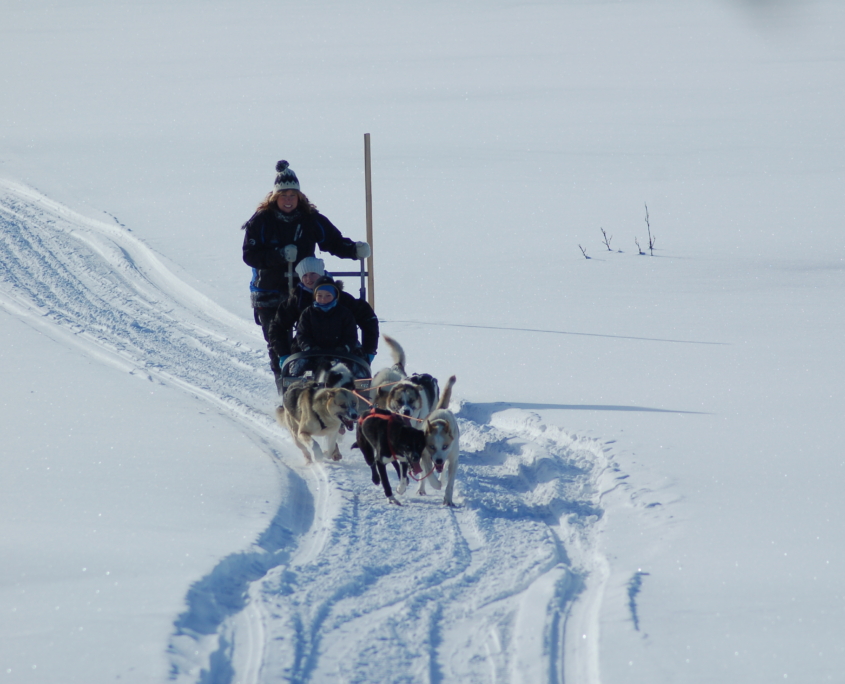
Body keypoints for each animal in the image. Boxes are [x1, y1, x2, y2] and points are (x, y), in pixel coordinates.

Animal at [426, 376, 458, 504]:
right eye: (431, 446)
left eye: (445, 446)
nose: (439, 460)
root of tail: (441, 409)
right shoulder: (424, 456)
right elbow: (428, 474)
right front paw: (437, 484)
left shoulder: (453, 459)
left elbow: (450, 483)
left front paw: (448, 499)